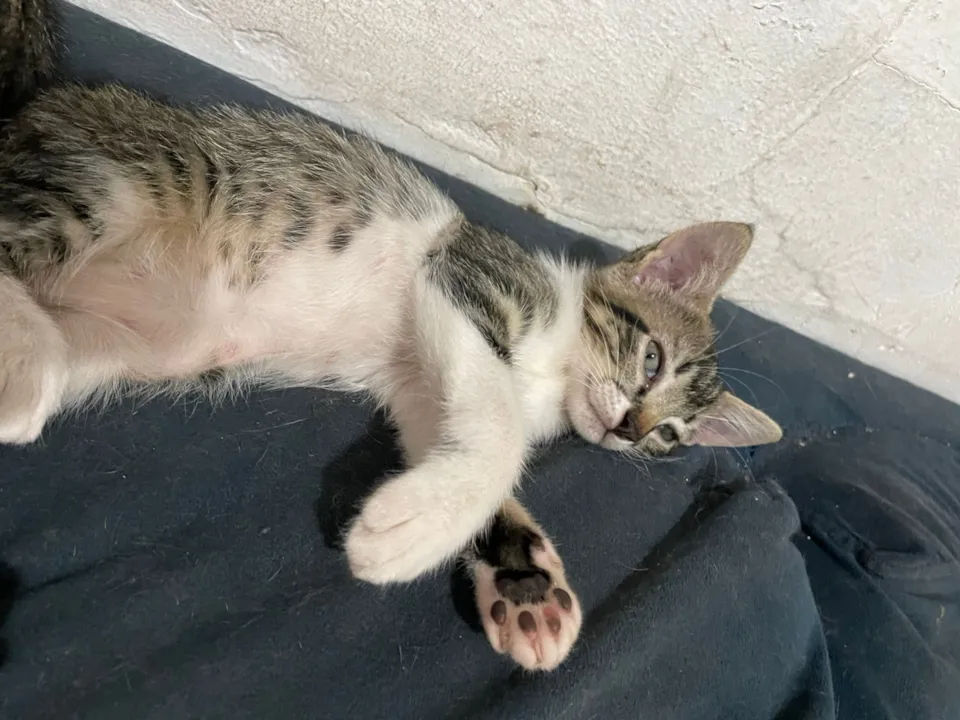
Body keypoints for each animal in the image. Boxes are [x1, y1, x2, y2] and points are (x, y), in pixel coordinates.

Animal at [0, 0, 781, 671]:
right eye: (652, 361)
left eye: (670, 438)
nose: (628, 430)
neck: (553, 371)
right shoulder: (464, 280)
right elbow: (498, 433)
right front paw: (414, 533)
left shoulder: (417, 381)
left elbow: (457, 439)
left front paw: (526, 588)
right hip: (113, 184)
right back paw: (23, 360)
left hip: (104, 343)